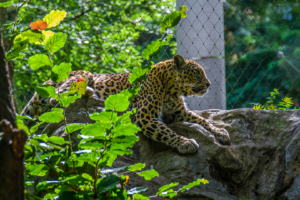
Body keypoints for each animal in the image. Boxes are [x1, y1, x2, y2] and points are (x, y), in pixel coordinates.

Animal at [22, 54, 231, 155]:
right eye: (197, 73)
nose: (209, 84)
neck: (171, 89)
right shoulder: (145, 117)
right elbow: (166, 131)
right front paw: (186, 142)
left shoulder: (180, 113)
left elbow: (203, 120)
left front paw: (221, 132)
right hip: (80, 75)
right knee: (57, 97)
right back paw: (88, 92)